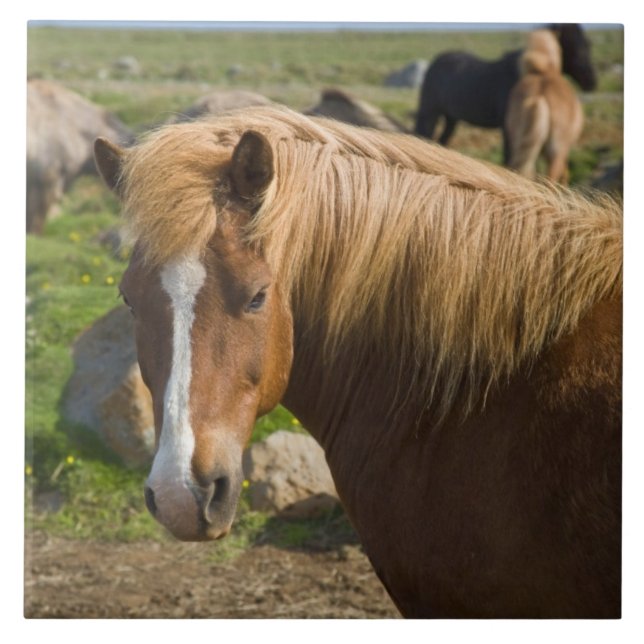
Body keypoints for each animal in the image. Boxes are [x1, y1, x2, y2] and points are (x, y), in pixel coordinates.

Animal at [414, 24, 596, 162]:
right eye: (573, 46)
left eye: (587, 44)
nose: (592, 82)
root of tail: (436, 61)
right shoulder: (509, 129)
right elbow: (509, 158)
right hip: (430, 112)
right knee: (423, 134)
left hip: (451, 118)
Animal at [505, 30, 584, 184]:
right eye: (561, 49)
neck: (544, 70)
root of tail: (539, 96)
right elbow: (565, 174)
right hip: (556, 152)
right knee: (550, 179)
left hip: (520, 144)